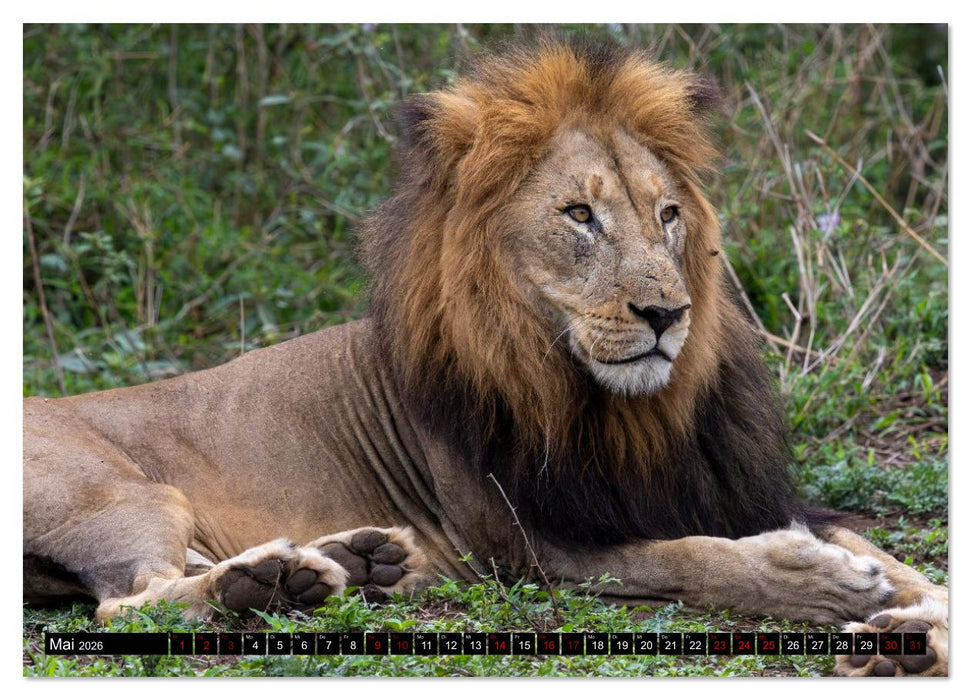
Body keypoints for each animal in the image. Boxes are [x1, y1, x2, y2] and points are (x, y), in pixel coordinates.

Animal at [23, 39, 946, 676]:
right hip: (128, 494)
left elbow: (915, 570)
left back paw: (348, 564)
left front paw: (907, 631)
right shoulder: (529, 549)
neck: (630, 412)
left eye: (668, 215)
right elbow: (695, 559)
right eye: (579, 216)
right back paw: (267, 585)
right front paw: (822, 581)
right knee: (128, 605)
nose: (666, 313)